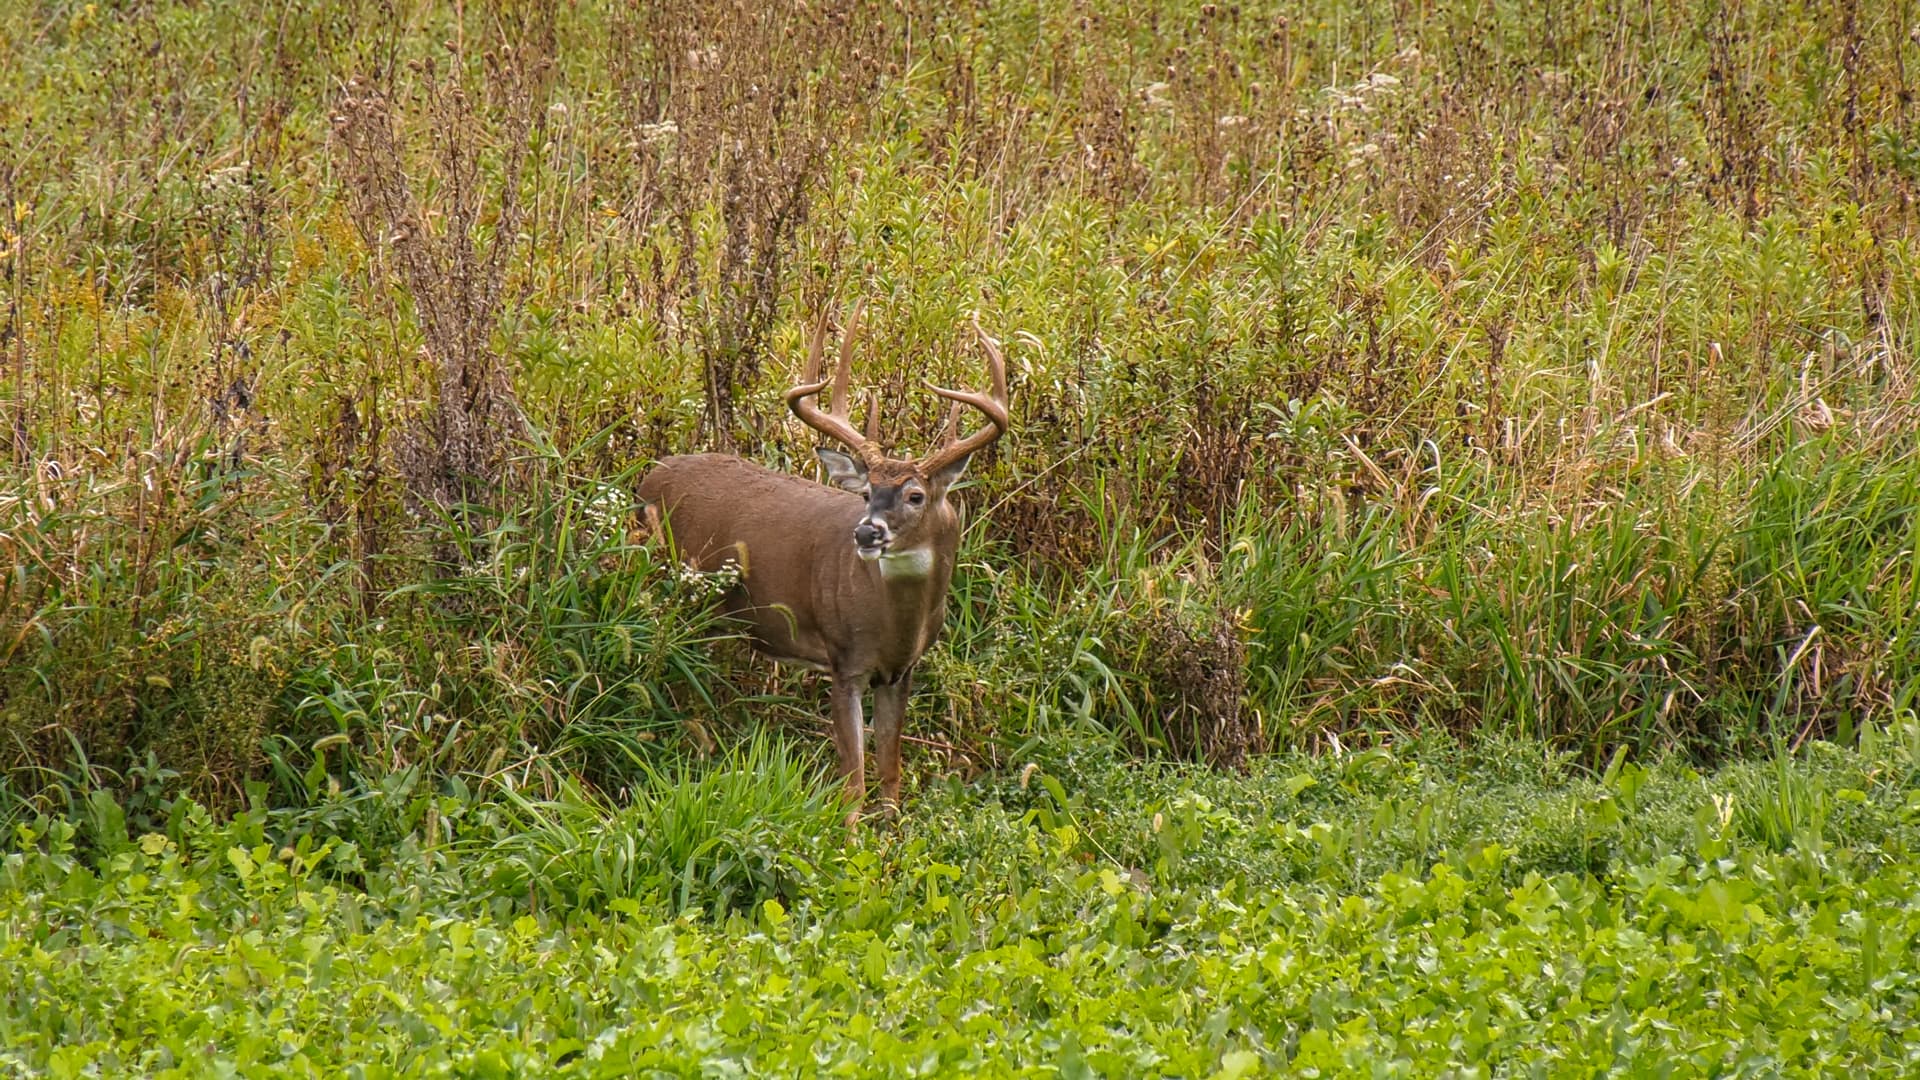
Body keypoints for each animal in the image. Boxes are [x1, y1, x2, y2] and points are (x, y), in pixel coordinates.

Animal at [637, 303, 1013, 814]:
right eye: (868, 493)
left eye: (915, 496)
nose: (867, 532)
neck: (895, 623)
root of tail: (649, 475)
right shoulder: (844, 659)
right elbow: (852, 778)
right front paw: (850, 833)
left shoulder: (901, 671)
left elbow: (890, 771)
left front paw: (892, 829)